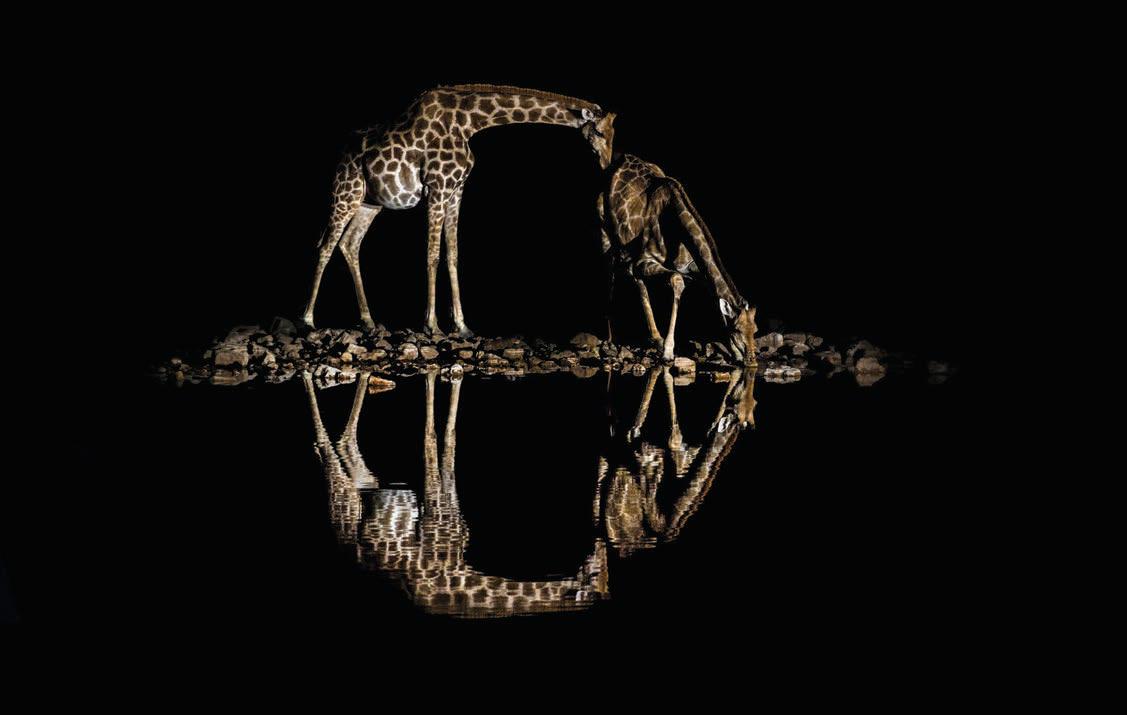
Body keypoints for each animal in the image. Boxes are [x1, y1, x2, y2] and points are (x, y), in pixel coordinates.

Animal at [302, 84, 617, 336]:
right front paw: (432, 325)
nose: (607, 164)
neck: (469, 123)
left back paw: (368, 321)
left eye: (614, 134)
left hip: (370, 202)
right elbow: (431, 255)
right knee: (325, 245)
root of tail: (341, 153)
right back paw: (308, 320)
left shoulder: (456, 192)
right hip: (346, 192)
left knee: (349, 243)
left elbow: (452, 254)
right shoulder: (437, 188)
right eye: (600, 132)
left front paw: (462, 326)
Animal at [597, 154, 757, 363]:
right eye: (737, 330)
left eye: (756, 330)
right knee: (611, 271)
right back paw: (610, 339)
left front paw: (735, 353)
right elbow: (677, 280)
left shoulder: (692, 266)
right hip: (605, 233)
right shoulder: (646, 260)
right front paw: (668, 351)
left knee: (634, 279)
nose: (752, 360)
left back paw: (655, 337)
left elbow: (714, 296)